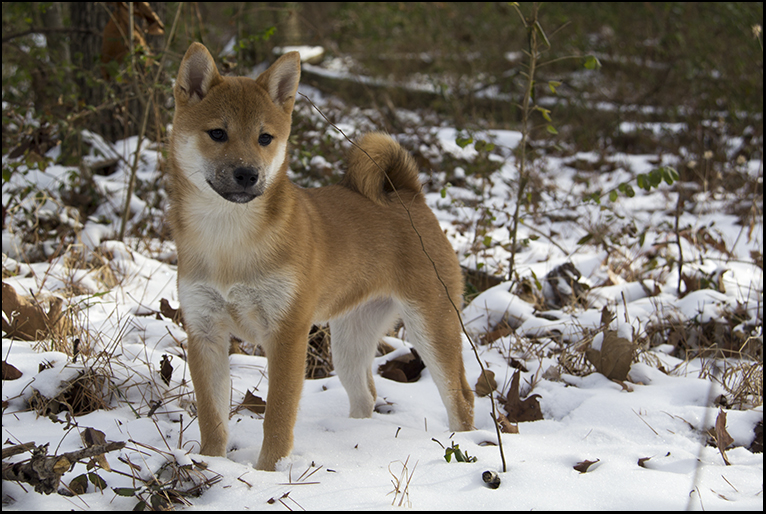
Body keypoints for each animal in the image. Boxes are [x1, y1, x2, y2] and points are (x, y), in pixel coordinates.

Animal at [168, 43, 474, 468]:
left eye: (265, 137)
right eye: (217, 133)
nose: (247, 174)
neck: (230, 240)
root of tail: (409, 195)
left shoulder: (286, 332)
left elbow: (278, 418)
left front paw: (269, 471)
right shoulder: (204, 332)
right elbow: (212, 417)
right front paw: (211, 463)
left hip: (432, 325)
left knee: (461, 396)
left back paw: (469, 446)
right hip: (349, 341)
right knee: (366, 394)